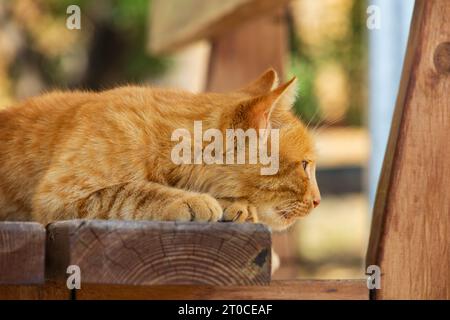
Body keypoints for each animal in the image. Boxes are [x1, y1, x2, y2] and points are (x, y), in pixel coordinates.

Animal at [1, 69, 322, 230]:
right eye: (305, 165)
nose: (318, 201)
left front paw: (233, 205)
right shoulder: (57, 196)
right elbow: (129, 190)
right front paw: (192, 200)